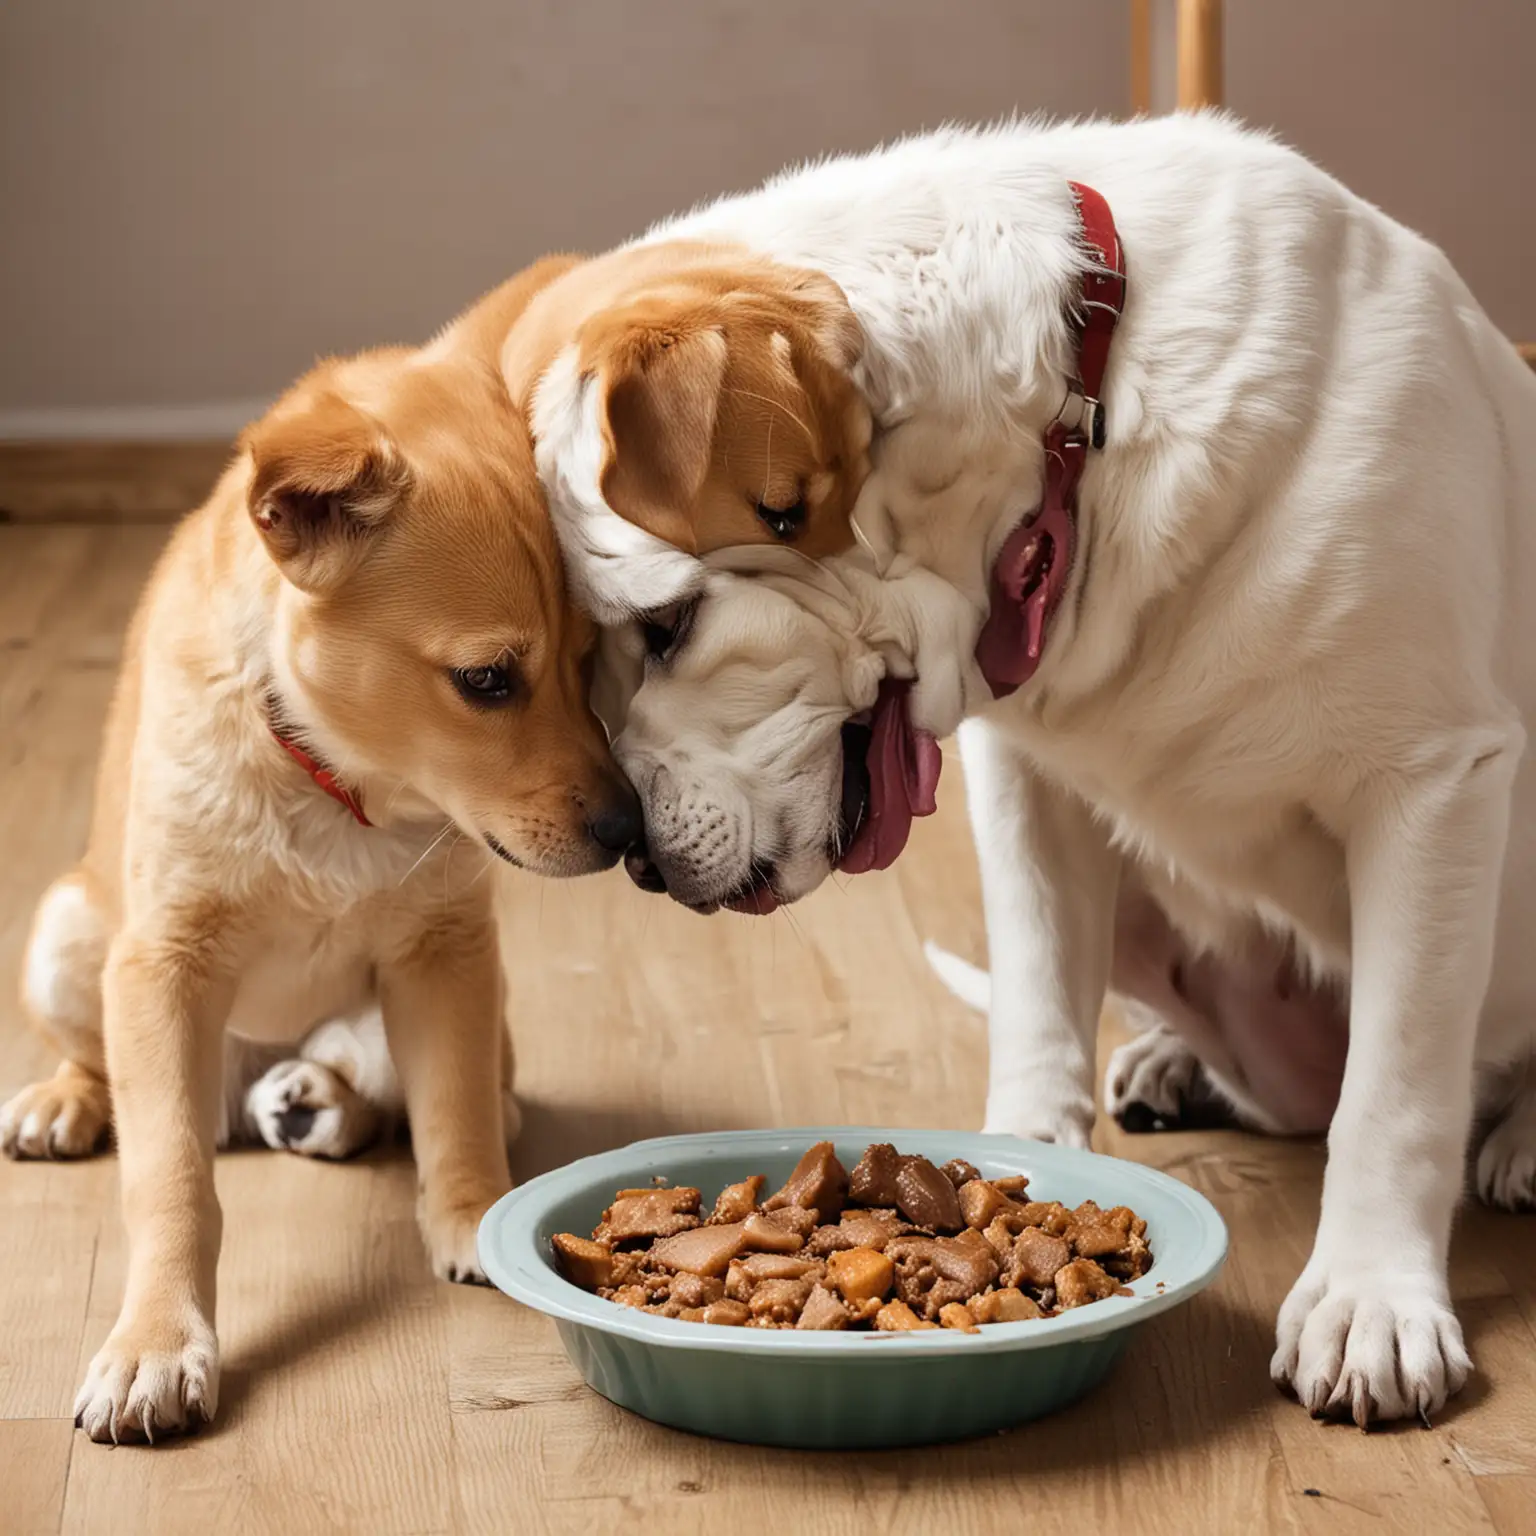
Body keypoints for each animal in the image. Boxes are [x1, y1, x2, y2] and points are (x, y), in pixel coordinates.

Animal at [516, 116, 1536, 1425]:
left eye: (669, 624)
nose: (637, 859)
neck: (1081, 430)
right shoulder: (1028, 790)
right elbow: (1043, 1003)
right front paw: (1023, 1167)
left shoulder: (1435, 779)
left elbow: (1394, 1091)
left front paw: (1370, 1301)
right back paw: (1172, 1062)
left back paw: (1519, 1139)